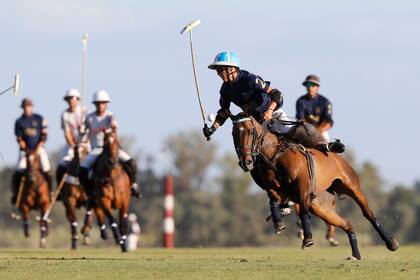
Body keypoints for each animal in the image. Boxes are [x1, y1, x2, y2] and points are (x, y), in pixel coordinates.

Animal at [231, 112, 398, 260]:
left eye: (250, 131)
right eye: (234, 133)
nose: (246, 162)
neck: (275, 156)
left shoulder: (303, 189)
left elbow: (304, 213)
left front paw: (308, 239)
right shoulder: (275, 190)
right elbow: (273, 202)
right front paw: (278, 223)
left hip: (351, 186)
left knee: (368, 213)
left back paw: (391, 242)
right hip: (322, 207)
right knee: (347, 224)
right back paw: (355, 255)